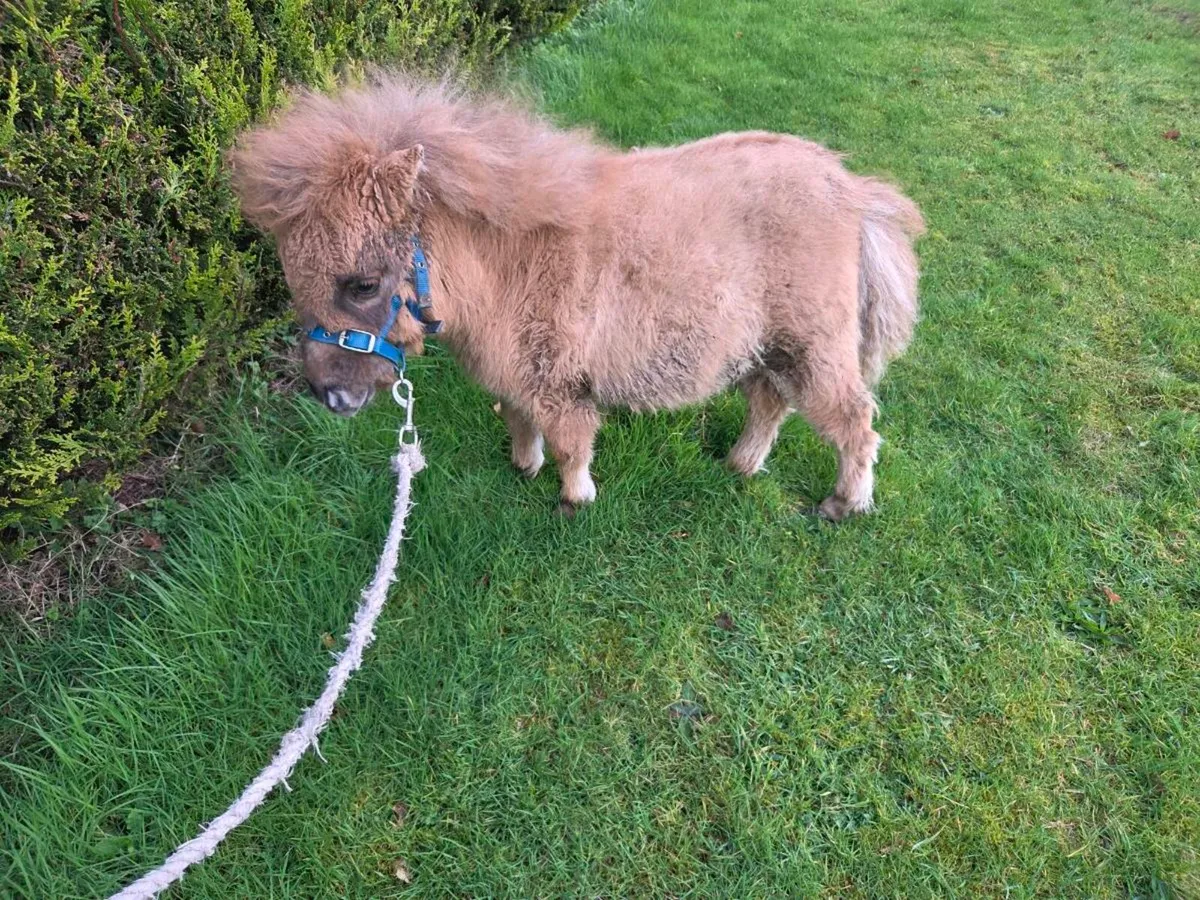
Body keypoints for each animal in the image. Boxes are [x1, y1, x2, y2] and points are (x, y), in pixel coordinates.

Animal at [227, 74, 924, 519]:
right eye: (294, 280)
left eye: (364, 284)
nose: (330, 396)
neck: (509, 268)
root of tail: (852, 190)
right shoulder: (516, 376)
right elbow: (518, 421)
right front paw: (523, 468)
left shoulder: (561, 380)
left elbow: (571, 441)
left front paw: (574, 498)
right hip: (769, 344)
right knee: (770, 402)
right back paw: (741, 465)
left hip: (815, 342)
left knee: (854, 420)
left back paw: (845, 503)